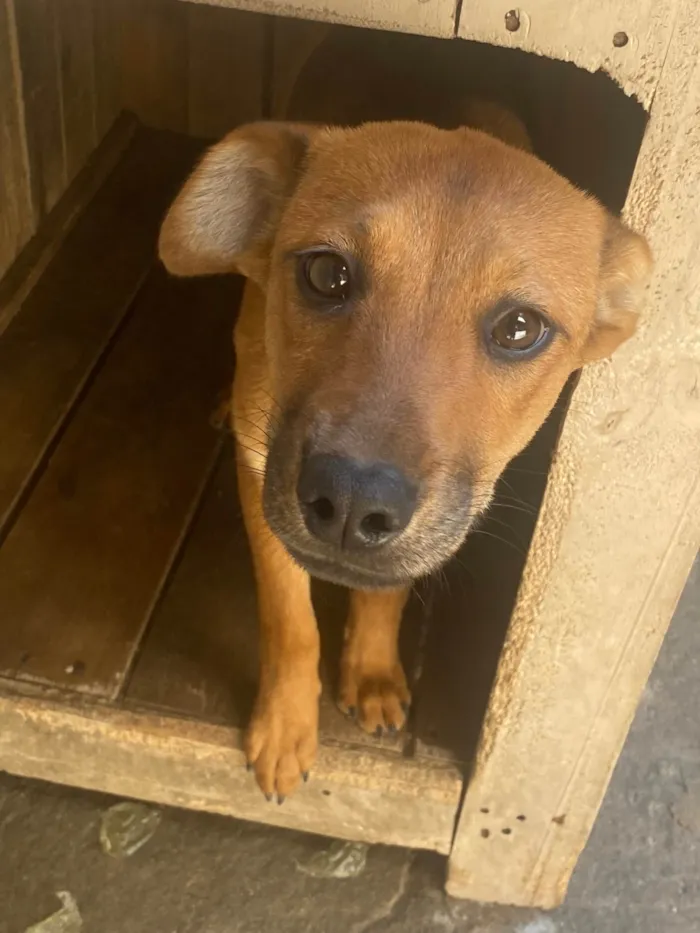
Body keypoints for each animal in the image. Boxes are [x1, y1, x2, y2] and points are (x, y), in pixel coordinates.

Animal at [159, 31, 652, 800]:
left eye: (521, 329)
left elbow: (388, 590)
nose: (352, 504)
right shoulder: (260, 468)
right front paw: (286, 728)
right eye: (326, 274)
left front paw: (370, 670)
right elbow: (290, 618)